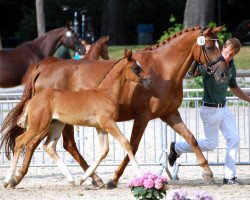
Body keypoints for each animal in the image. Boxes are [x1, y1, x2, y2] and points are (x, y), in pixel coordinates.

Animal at [3, 49, 152, 188]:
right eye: (136, 68)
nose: (149, 80)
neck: (106, 93)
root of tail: (32, 100)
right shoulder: (108, 123)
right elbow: (126, 143)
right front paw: (140, 175)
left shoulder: (100, 127)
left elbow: (104, 150)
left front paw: (83, 179)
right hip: (38, 126)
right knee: (20, 141)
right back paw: (8, 180)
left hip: (56, 124)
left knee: (49, 146)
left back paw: (71, 179)